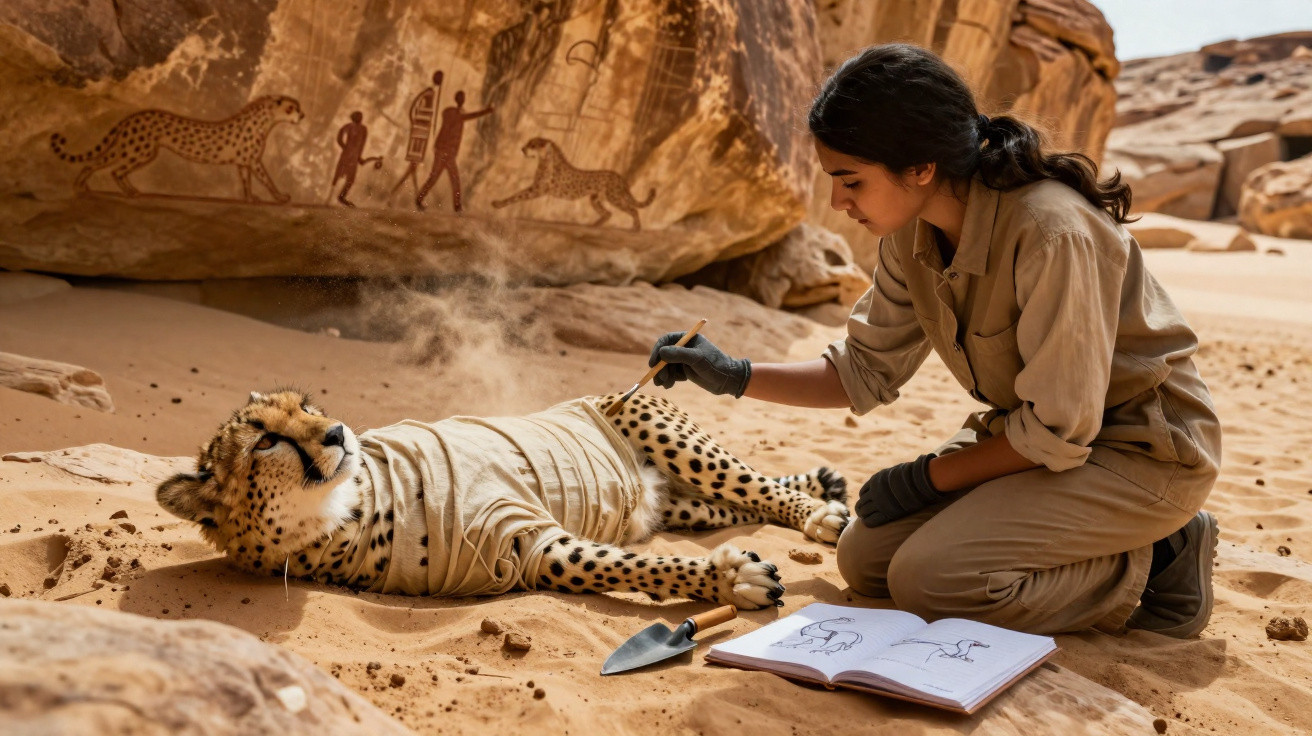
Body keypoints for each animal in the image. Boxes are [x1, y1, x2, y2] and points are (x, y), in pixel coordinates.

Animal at [50, 95, 304, 203]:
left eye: (297, 107)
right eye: (291, 108)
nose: (302, 115)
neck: (265, 120)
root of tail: (131, 117)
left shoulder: (243, 163)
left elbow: (246, 182)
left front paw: (251, 198)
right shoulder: (253, 162)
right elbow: (267, 180)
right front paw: (281, 197)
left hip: (132, 149)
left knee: (103, 165)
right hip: (139, 150)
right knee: (112, 169)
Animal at [156, 390, 850, 610]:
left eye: (306, 407)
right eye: (266, 440)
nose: (338, 433)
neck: (349, 507)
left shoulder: (517, 526)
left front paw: (729, 577)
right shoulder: (530, 547)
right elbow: (628, 563)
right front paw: (727, 579)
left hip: (650, 420)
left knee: (749, 481)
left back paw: (819, 508)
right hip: (679, 502)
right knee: (736, 503)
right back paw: (823, 495)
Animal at [491, 137, 656, 231]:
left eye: (533, 145)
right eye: (528, 144)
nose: (522, 149)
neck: (545, 160)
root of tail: (618, 176)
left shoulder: (538, 189)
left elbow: (516, 196)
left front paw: (498, 204)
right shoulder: (537, 188)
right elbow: (516, 195)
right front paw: (498, 204)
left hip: (614, 197)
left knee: (633, 210)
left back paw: (636, 228)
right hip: (595, 199)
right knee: (608, 213)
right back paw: (593, 226)